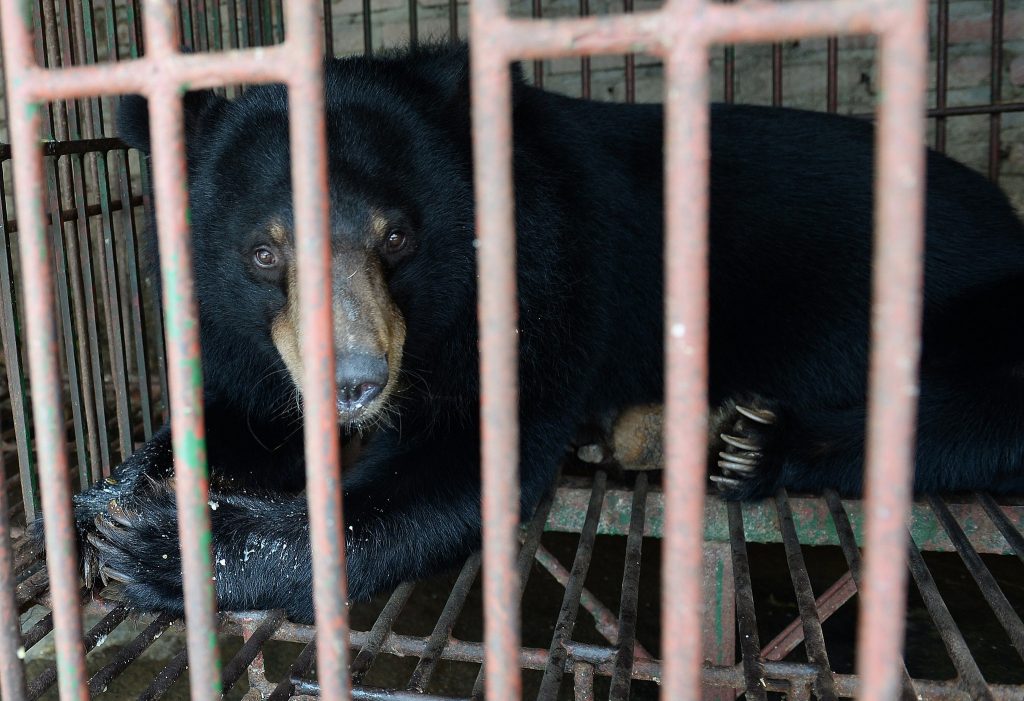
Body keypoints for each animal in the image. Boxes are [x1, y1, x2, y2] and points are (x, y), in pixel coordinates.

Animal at [62, 42, 1024, 623]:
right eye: (264, 252)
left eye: (397, 237)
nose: (355, 383)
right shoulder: (250, 337)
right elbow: (242, 410)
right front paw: (108, 501)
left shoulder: (545, 274)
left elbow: (457, 466)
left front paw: (168, 547)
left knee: (974, 414)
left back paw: (750, 441)